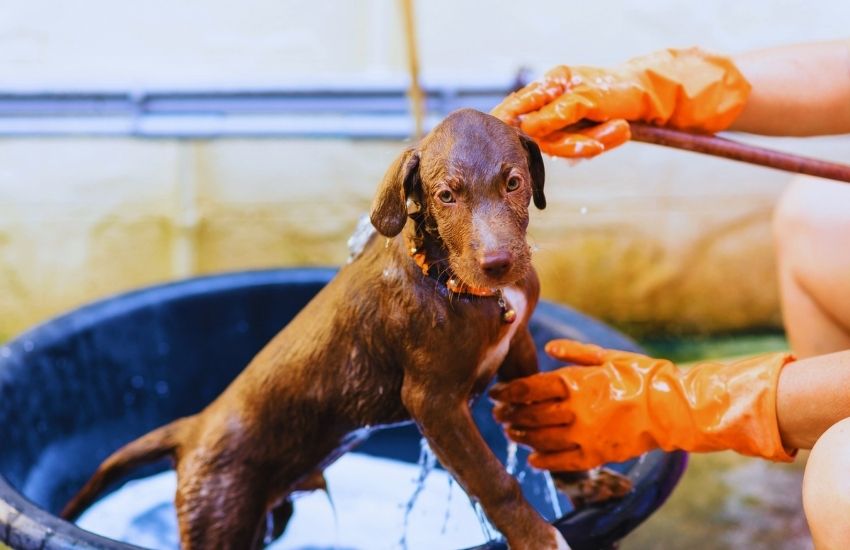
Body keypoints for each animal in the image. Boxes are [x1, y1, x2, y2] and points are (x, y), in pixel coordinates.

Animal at [63, 109, 568, 550]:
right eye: (447, 196)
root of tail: (194, 427)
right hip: (219, 515)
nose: (498, 263)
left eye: (513, 182)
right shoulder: (434, 401)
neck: (454, 284)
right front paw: (539, 538)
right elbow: (494, 481)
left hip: (270, 516)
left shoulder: (519, 344)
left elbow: (543, 426)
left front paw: (578, 476)